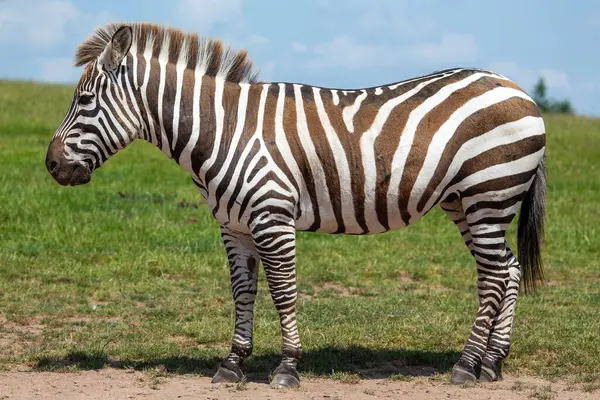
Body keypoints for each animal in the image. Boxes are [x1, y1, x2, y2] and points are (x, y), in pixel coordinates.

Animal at [44, 23, 548, 390]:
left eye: (84, 100)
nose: (51, 165)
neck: (224, 130)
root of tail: (516, 88)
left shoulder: (272, 217)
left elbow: (283, 292)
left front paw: (287, 367)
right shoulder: (233, 226)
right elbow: (242, 293)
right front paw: (233, 364)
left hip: (489, 193)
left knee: (493, 277)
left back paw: (466, 366)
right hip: (468, 202)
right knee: (509, 268)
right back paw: (493, 362)